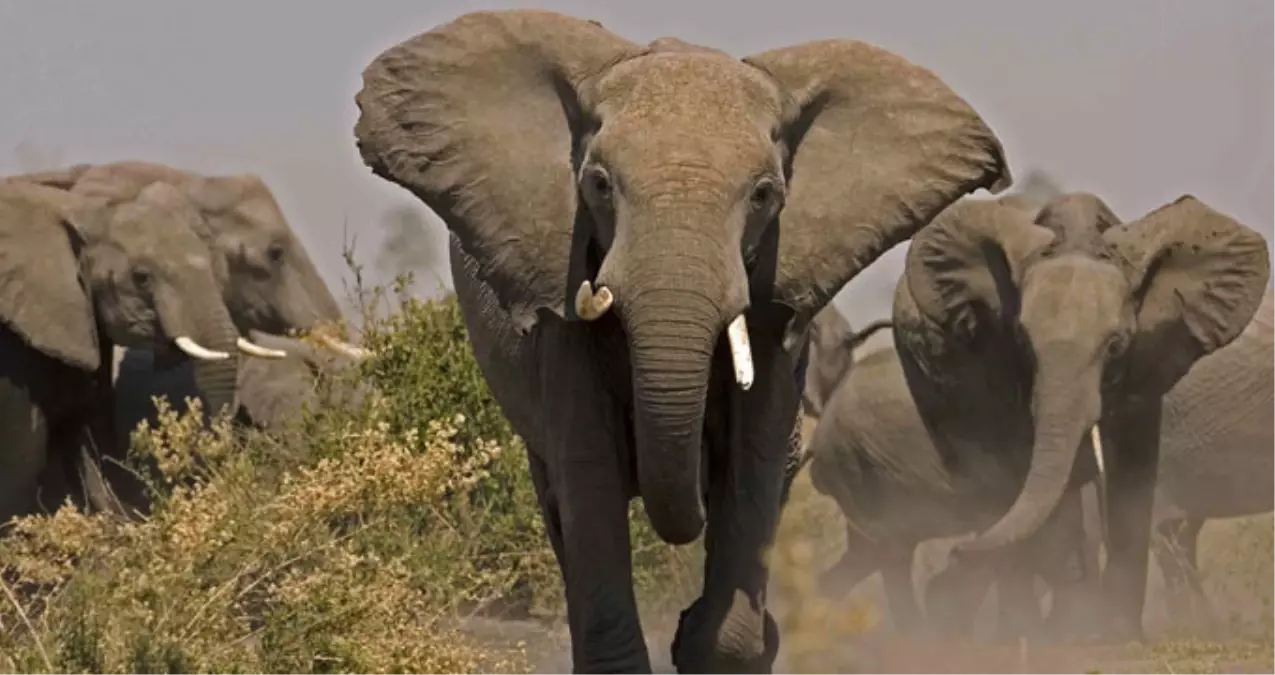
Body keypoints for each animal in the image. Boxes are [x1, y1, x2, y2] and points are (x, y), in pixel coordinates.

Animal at [349, 10, 1004, 673]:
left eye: (764, 195)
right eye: (599, 185)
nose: (686, 618)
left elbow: (755, 460)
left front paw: (718, 639)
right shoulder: (562, 310)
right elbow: (589, 471)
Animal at [892, 186, 1269, 640]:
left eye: (1116, 345)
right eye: (1021, 340)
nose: (954, 557)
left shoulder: (1148, 360)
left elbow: (1131, 470)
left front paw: (1117, 634)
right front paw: (1069, 630)